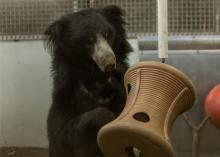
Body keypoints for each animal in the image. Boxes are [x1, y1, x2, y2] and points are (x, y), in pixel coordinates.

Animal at [44, 5, 131, 157]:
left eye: (108, 34)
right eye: (88, 41)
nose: (109, 63)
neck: (97, 78)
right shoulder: (67, 97)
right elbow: (61, 136)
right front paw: (107, 117)